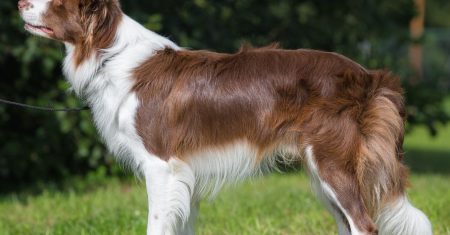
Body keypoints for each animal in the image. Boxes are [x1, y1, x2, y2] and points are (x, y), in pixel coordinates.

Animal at [18, 0, 432, 234]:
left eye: (57, 0)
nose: (20, 2)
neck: (110, 54)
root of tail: (370, 76)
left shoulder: (161, 166)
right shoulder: (183, 175)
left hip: (332, 165)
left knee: (365, 225)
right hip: (323, 172)